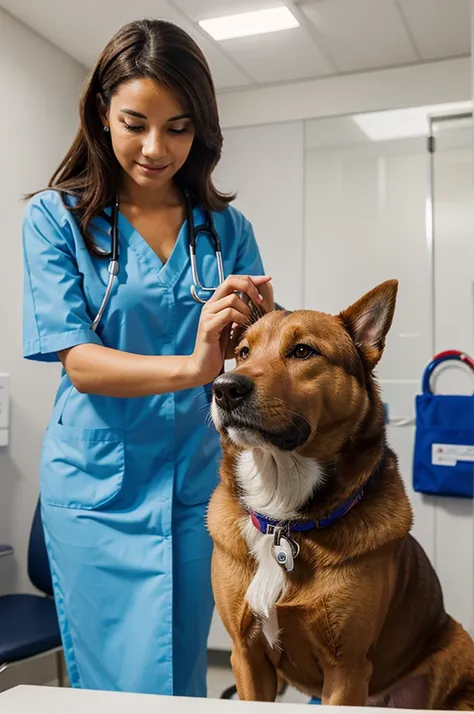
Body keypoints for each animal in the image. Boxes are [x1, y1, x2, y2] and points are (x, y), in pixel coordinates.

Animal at [207, 280, 474, 708]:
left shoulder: (346, 669)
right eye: (243, 352)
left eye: (303, 351)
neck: (283, 517)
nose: (224, 389)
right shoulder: (246, 655)